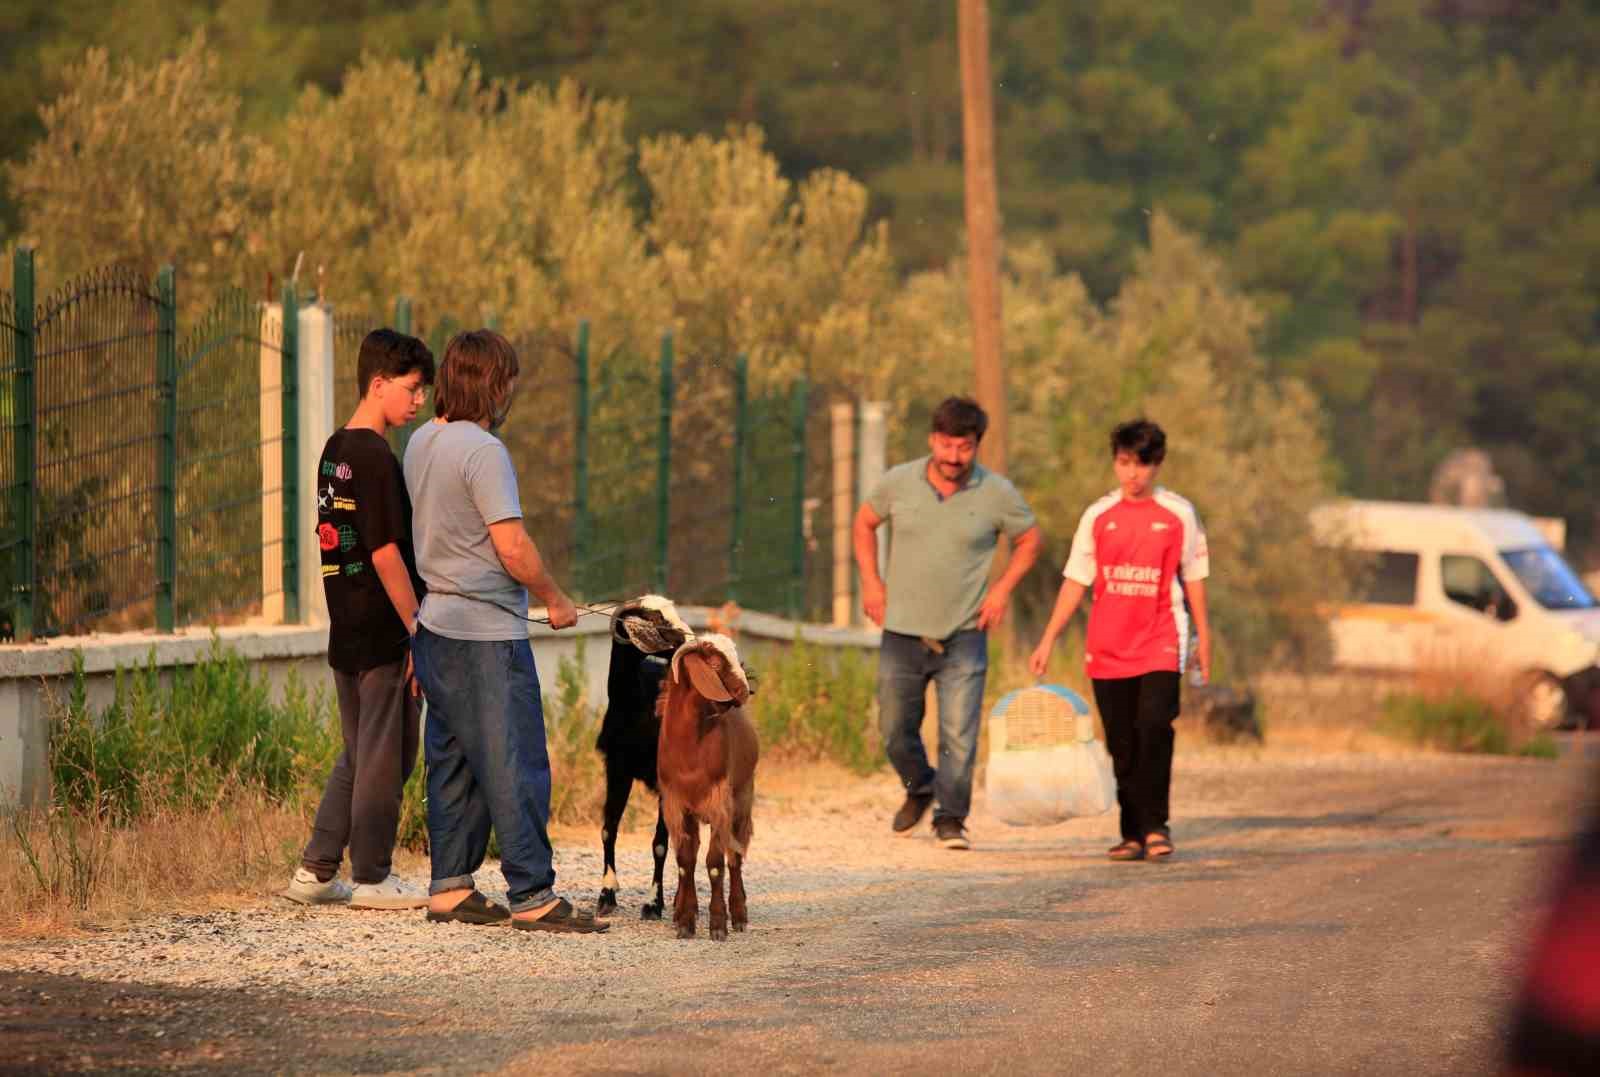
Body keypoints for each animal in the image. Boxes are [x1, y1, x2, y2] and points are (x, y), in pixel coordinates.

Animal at [588, 595, 688, 915]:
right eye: (654, 618)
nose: (686, 640)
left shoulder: (667, 781)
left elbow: (660, 843)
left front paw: (654, 903)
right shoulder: (617, 770)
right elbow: (608, 830)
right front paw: (606, 894)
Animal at [662, 633, 761, 934]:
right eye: (716, 663)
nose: (745, 691)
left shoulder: (719, 802)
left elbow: (716, 863)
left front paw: (718, 924)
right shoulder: (676, 804)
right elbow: (685, 862)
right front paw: (685, 921)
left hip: (742, 799)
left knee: (735, 857)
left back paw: (738, 914)